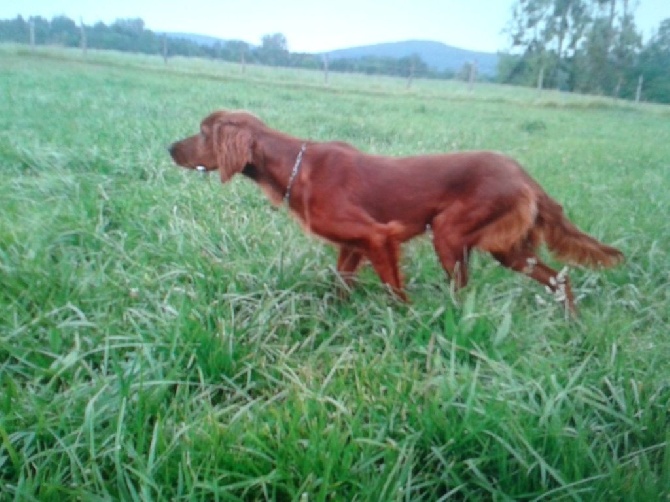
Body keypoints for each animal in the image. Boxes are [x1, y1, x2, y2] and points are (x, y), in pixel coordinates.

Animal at [169, 110, 624, 314]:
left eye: (203, 133)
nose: (169, 148)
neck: (296, 166)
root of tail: (525, 175)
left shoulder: (377, 236)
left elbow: (394, 291)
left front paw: (405, 323)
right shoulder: (351, 247)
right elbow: (341, 285)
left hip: (448, 233)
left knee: (465, 288)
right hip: (508, 249)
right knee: (559, 278)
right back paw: (572, 322)